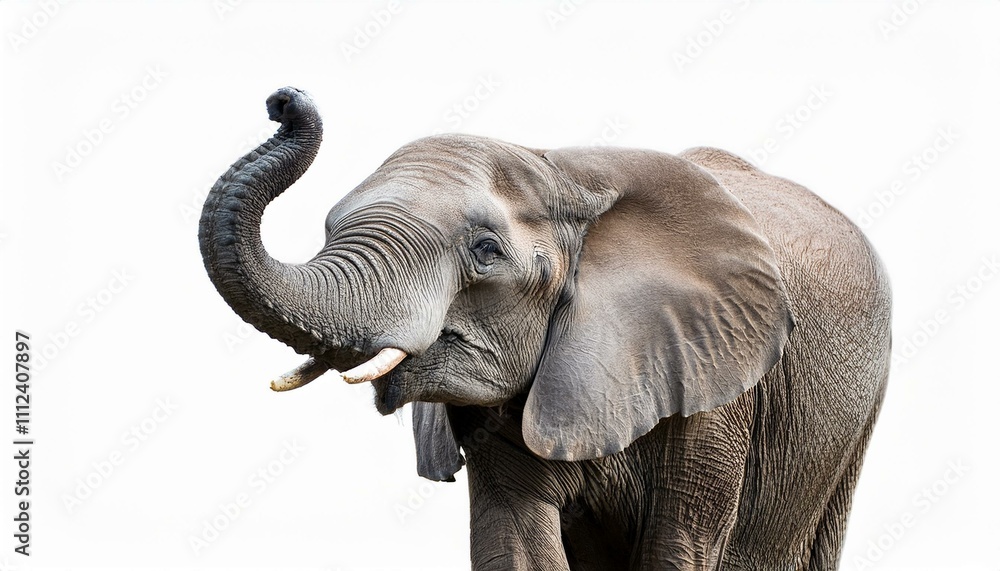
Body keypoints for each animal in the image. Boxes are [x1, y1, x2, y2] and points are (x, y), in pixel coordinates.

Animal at [198, 87, 891, 570]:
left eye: (485, 251)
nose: (282, 100)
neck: (564, 171)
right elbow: (516, 541)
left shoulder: (714, 375)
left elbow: (680, 546)